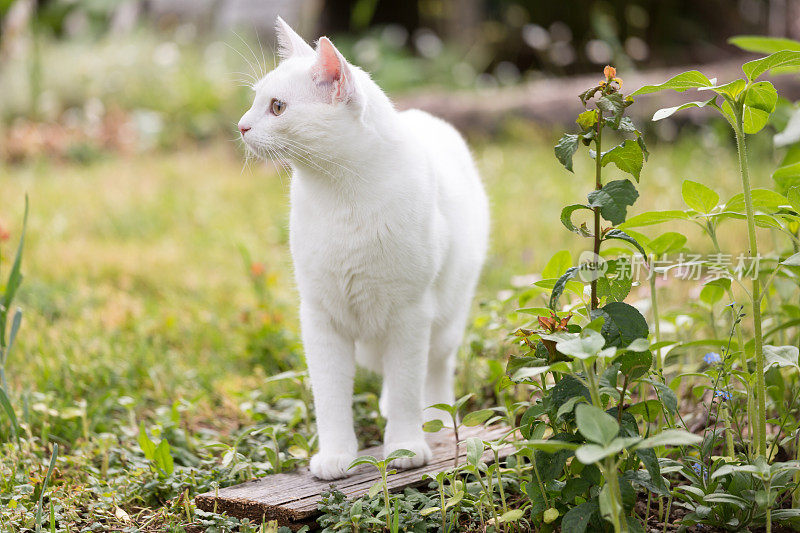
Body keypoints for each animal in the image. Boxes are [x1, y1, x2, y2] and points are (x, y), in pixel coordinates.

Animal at [238, 18, 488, 480]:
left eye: (277, 107)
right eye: (255, 100)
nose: (242, 126)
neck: (341, 198)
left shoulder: (411, 316)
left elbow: (408, 385)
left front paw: (406, 445)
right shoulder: (320, 319)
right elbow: (331, 397)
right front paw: (337, 455)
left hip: (446, 321)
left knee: (434, 370)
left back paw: (435, 420)